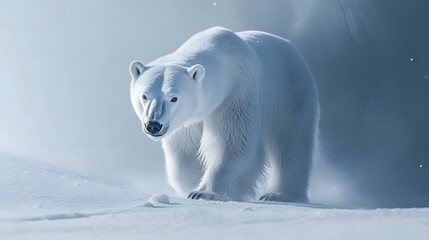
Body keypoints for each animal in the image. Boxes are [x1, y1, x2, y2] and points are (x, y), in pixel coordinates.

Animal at [129, 26, 320, 202]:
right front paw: (193, 186)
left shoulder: (237, 92)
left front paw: (205, 193)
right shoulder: (188, 120)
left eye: (173, 98)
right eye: (144, 96)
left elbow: (234, 143)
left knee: (290, 142)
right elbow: (186, 151)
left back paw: (279, 195)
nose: (153, 125)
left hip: (288, 96)